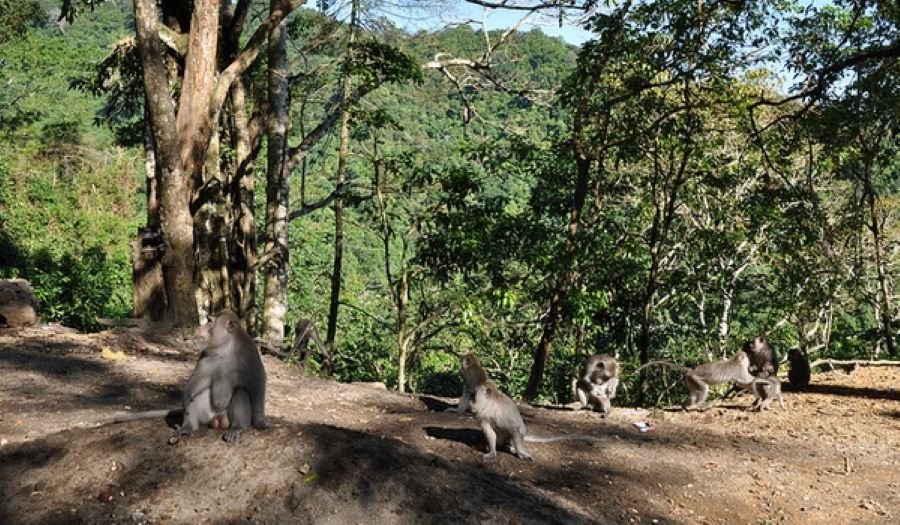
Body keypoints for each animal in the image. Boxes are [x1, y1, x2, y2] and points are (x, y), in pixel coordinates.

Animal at [113, 310, 269, 443]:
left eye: (210, 322)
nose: (200, 327)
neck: (225, 348)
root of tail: (219, 419)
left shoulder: (249, 351)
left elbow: (258, 383)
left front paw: (260, 420)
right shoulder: (205, 356)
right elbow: (194, 384)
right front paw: (187, 406)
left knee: (240, 392)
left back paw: (237, 427)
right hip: (207, 414)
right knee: (196, 397)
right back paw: (189, 427)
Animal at [452, 353, 600, 462]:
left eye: (474, 395)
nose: (471, 402)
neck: (491, 407)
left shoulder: (502, 414)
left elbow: (514, 429)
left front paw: (520, 452)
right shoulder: (483, 416)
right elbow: (489, 432)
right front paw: (492, 451)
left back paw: (510, 447)